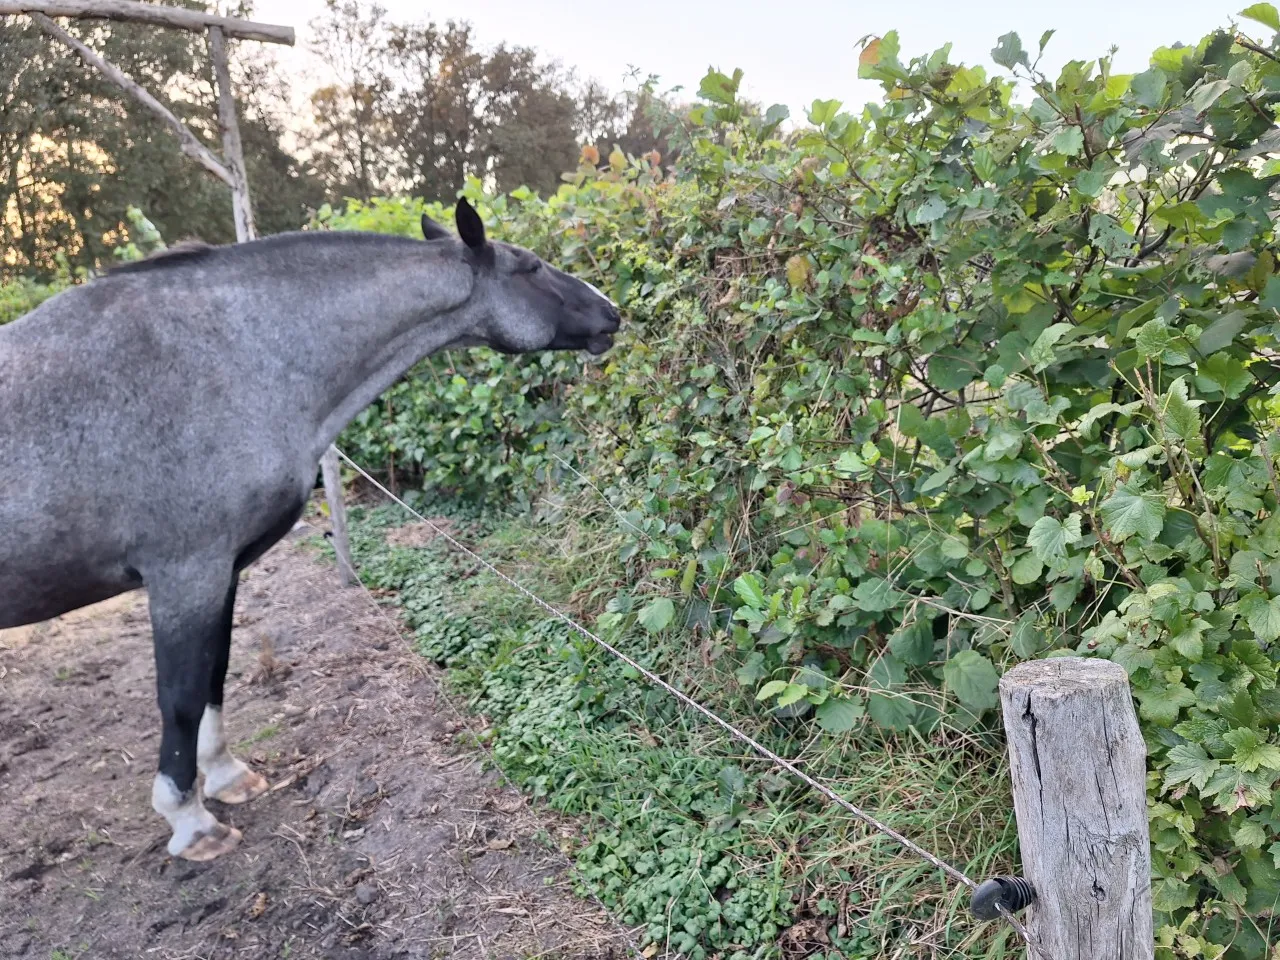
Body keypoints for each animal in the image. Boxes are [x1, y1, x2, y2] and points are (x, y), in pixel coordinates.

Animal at [0, 199, 619, 860]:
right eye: (530, 267)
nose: (611, 310)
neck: (231, 358)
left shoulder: (223, 571)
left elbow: (216, 672)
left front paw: (225, 776)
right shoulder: (184, 574)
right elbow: (182, 697)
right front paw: (190, 821)